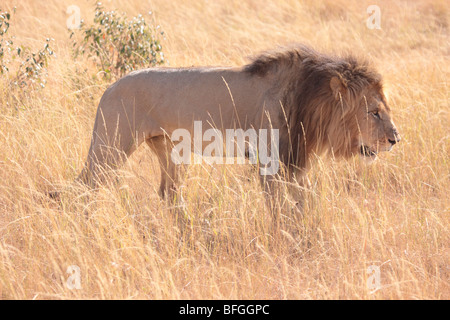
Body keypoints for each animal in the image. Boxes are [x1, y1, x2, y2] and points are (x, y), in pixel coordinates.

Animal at [73, 43, 400, 204]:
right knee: (84, 186)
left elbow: (302, 203)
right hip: (110, 147)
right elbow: (281, 209)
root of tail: (110, 87)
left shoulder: (295, 161)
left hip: (169, 150)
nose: (396, 139)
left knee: (169, 192)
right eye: (374, 112)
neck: (309, 101)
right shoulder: (271, 163)